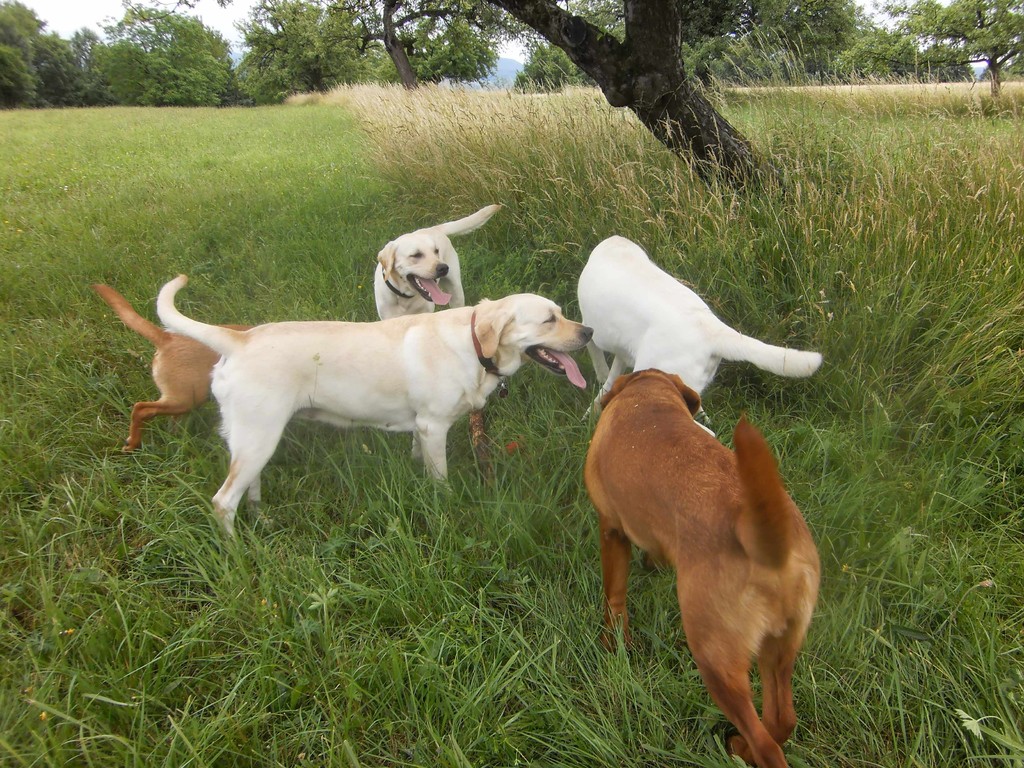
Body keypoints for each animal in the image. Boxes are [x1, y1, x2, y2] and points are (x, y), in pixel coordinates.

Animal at [157, 274, 593, 536]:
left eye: (561, 312)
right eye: (549, 319)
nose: (588, 331)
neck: (472, 345)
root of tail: (240, 339)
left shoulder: (421, 428)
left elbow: (418, 458)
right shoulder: (434, 427)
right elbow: (442, 482)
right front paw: (448, 509)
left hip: (253, 439)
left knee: (249, 488)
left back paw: (262, 520)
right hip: (259, 437)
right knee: (222, 502)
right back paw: (242, 553)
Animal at [589, 370, 819, 765]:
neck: (647, 396)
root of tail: (766, 541)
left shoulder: (612, 529)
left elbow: (614, 598)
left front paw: (614, 643)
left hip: (716, 661)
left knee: (767, 743)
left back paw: (745, 750)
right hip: (779, 649)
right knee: (782, 719)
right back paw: (741, 746)